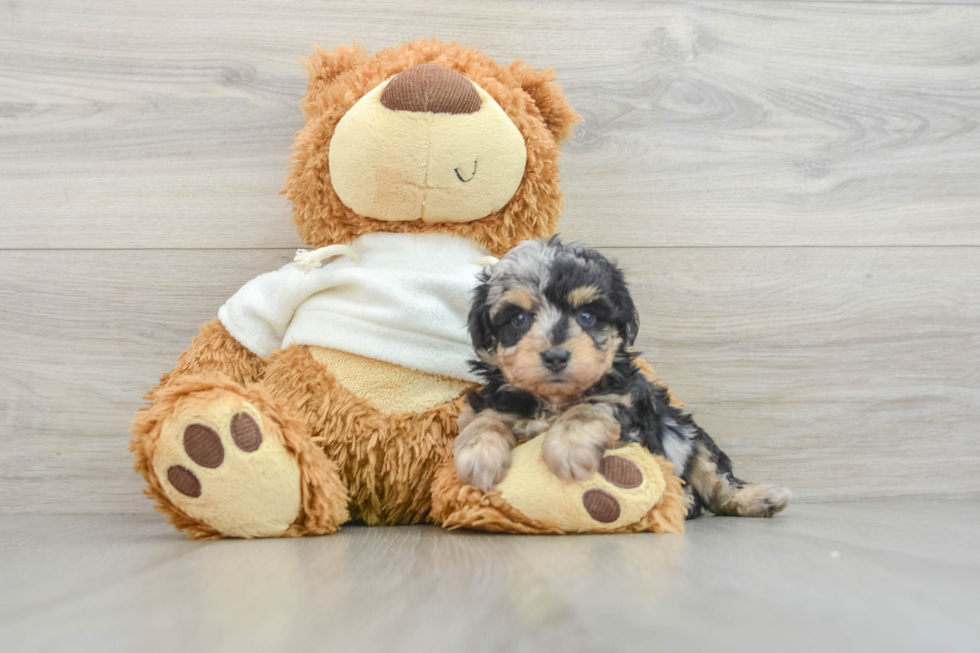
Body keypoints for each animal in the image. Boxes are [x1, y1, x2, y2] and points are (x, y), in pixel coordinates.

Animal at [456, 237, 792, 516]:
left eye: (587, 316)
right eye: (518, 319)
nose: (555, 356)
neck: (554, 399)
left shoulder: (628, 405)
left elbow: (592, 405)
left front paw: (568, 448)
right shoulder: (496, 399)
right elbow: (483, 418)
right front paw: (479, 455)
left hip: (691, 436)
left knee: (716, 484)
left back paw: (755, 498)